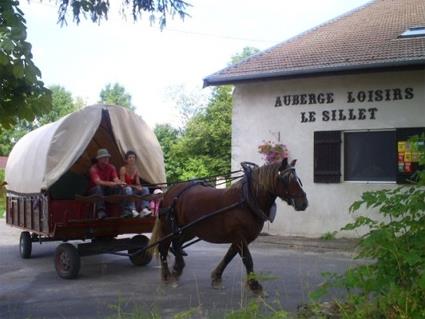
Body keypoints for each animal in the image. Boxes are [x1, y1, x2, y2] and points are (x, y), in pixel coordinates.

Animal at [147, 159, 306, 294]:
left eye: (298, 179)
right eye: (286, 179)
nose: (304, 203)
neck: (247, 200)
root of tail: (169, 193)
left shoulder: (241, 238)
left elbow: (229, 256)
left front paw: (216, 277)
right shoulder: (239, 236)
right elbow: (247, 260)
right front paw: (255, 285)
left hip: (189, 230)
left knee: (177, 244)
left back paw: (176, 269)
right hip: (170, 228)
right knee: (165, 247)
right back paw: (168, 275)